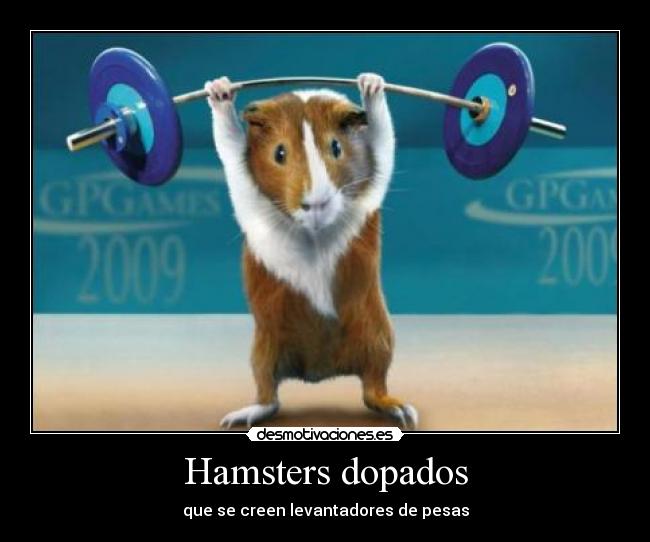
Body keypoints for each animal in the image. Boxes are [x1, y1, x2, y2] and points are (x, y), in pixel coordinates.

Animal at [205, 73, 417, 429]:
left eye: (336, 146)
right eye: (279, 153)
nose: (315, 203)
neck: (314, 234)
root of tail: (320, 371)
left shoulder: (373, 183)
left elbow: (384, 141)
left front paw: (371, 83)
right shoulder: (245, 186)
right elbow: (230, 143)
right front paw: (218, 89)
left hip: (379, 339)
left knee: (374, 389)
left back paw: (404, 412)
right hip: (264, 352)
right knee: (268, 396)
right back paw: (236, 419)